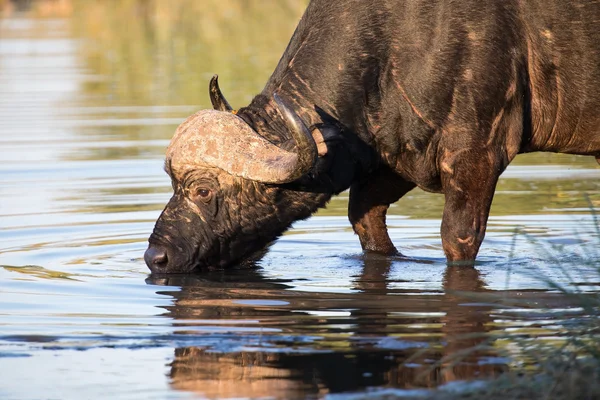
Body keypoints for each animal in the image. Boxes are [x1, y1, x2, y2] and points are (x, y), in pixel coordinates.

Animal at [145, 0, 600, 276]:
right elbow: (365, 223)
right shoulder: (392, 160)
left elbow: (458, 239)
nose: (156, 258)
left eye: (203, 190)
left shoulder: (475, 157)